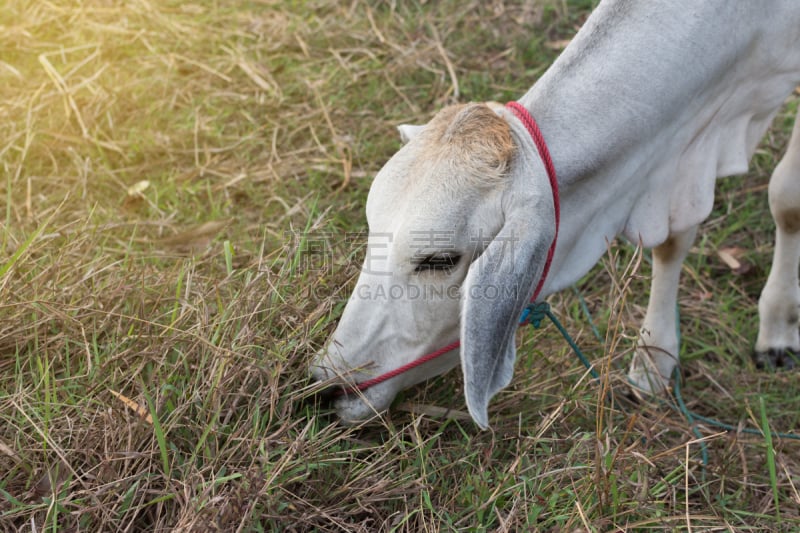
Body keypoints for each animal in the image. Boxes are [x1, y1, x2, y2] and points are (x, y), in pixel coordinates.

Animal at [310, 0, 800, 426]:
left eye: (440, 260)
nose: (325, 385)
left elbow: (787, 199)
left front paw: (777, 328)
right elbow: (672, 243)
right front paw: (654, 360)